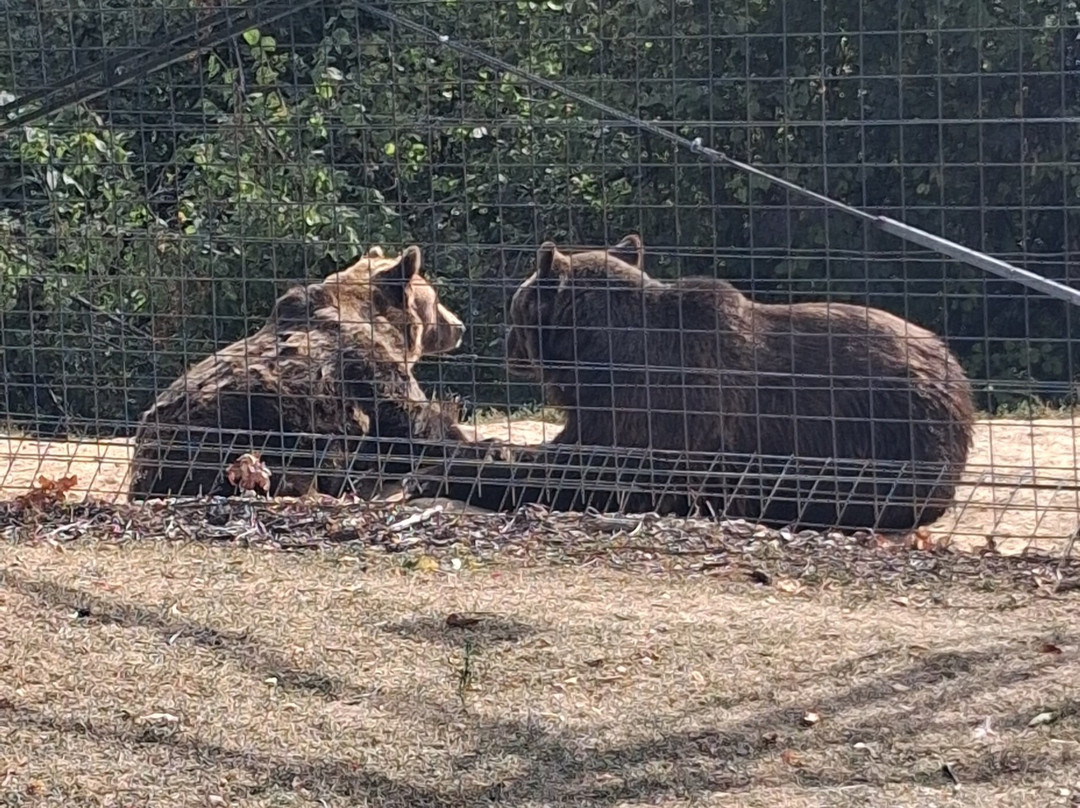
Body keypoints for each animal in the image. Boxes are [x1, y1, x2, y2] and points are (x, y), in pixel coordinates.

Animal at [408, 234, 977, 533]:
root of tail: (955, 372)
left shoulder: (658, 412)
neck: (597, 359)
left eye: (516, 308)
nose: (503, 343)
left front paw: (440, 472)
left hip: (886, 432)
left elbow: (582, 474)